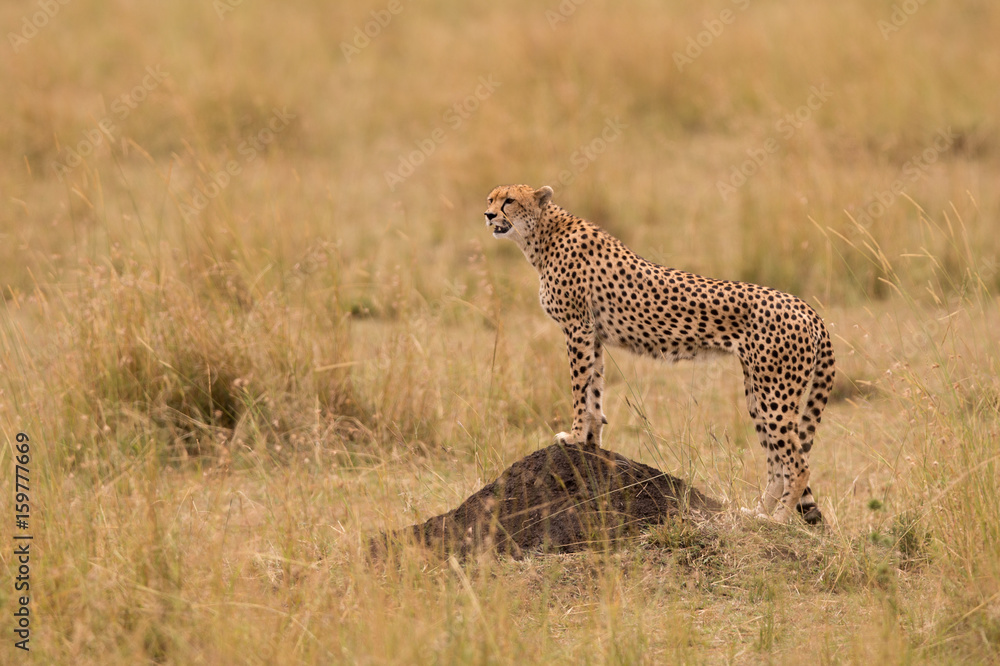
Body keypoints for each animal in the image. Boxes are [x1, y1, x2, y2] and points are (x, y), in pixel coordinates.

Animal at [483, 184, 835, 524]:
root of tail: (803, 306)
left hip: (775, 393)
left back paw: (778, 520)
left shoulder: (577, 328)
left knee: (798, 464)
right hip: (759, 392)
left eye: (509, 200)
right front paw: (591, 441)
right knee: (777, 461)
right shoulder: (593, 335)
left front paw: (574, 436)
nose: (488, 215)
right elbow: (594, 390)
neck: (544, 234)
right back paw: (757, 513)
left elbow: (579, 389)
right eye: (491, 198)